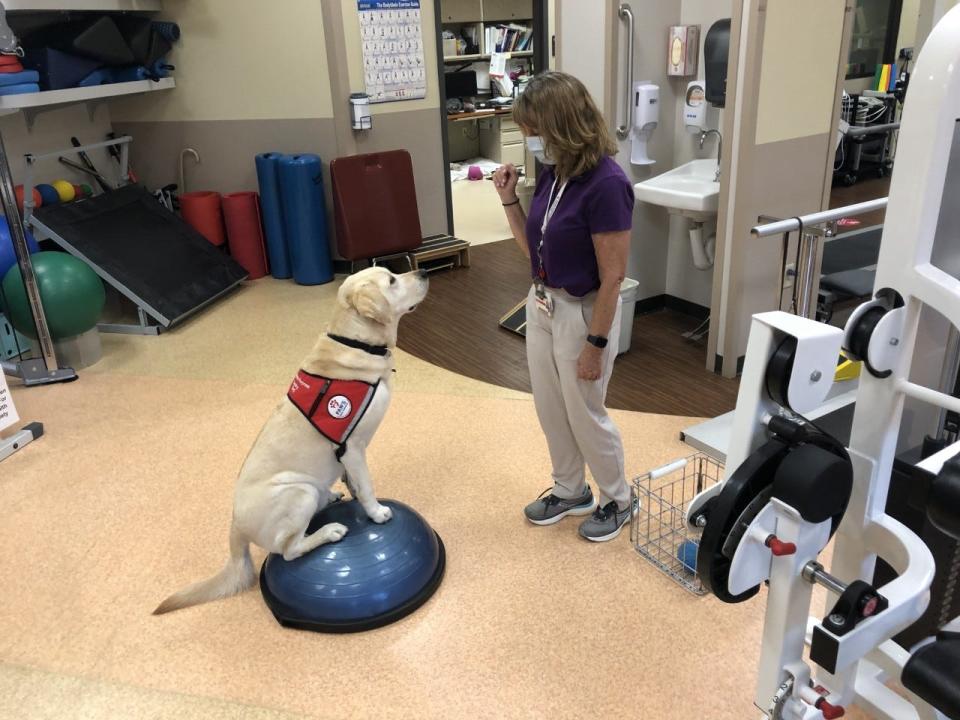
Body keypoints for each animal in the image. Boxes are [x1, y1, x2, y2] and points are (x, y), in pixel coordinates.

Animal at [154, 268, 428, 616]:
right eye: (392, 280)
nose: (422, 272)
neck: (356, 342)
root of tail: (235, 525)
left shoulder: (345, 457)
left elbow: (354, 482)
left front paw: (354, 496)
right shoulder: (353, 447)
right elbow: (366, 486)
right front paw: (376, 512)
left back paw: (330, 498)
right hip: (298, 491)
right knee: (289, 549)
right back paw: (328, 531)